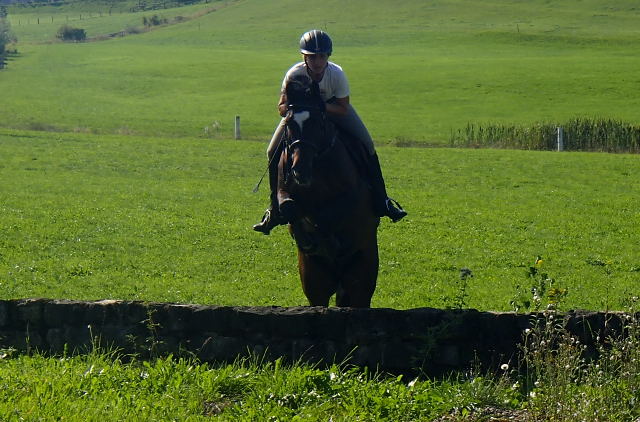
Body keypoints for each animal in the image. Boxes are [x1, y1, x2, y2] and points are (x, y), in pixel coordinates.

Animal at [276, 75, 380, 306]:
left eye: (317, 122)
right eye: (289, 123)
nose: (300, 170)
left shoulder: (352, 197)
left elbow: (331, 214)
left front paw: (330, 240)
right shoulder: (285, 193)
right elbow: (290, 208)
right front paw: (308, 239)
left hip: (362, 273)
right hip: (314, 280)